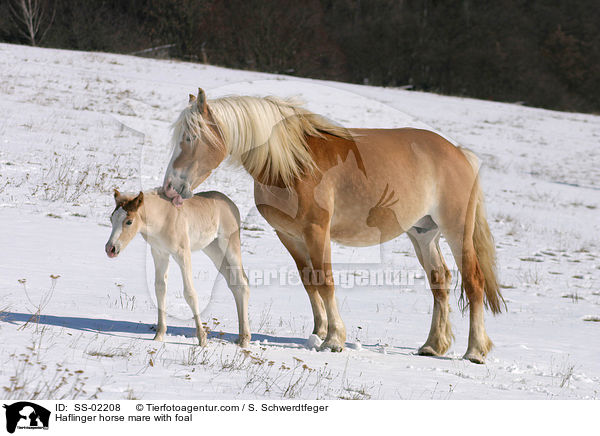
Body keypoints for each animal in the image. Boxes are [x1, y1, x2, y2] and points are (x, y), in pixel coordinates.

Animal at [104, 189, 250, 346]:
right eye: (111, 219)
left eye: (129, 221)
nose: (110, 249)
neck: (163, 218)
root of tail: (231, 204)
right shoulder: (159, 253)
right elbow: (160, 289)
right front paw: (159, 336)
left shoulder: (182, 254)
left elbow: (190, 294)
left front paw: (202, 339)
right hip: (214, 250)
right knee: (234, 284)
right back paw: (241, 337)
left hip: (230, 247)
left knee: (242, 283)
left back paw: (245, 340)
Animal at [162, 87, 504, 362]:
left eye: (190, 138)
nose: (169, 187)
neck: (293, 164)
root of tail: (459, 153)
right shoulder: (289, 235)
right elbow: (309, 280)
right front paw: (319, 332)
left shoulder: (317, 230)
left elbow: (325, 280)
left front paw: (335, 339)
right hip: (423, 233)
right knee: (440, 280)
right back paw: (433, 345)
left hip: (456, 230)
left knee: (473, 281)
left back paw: (475, 351)